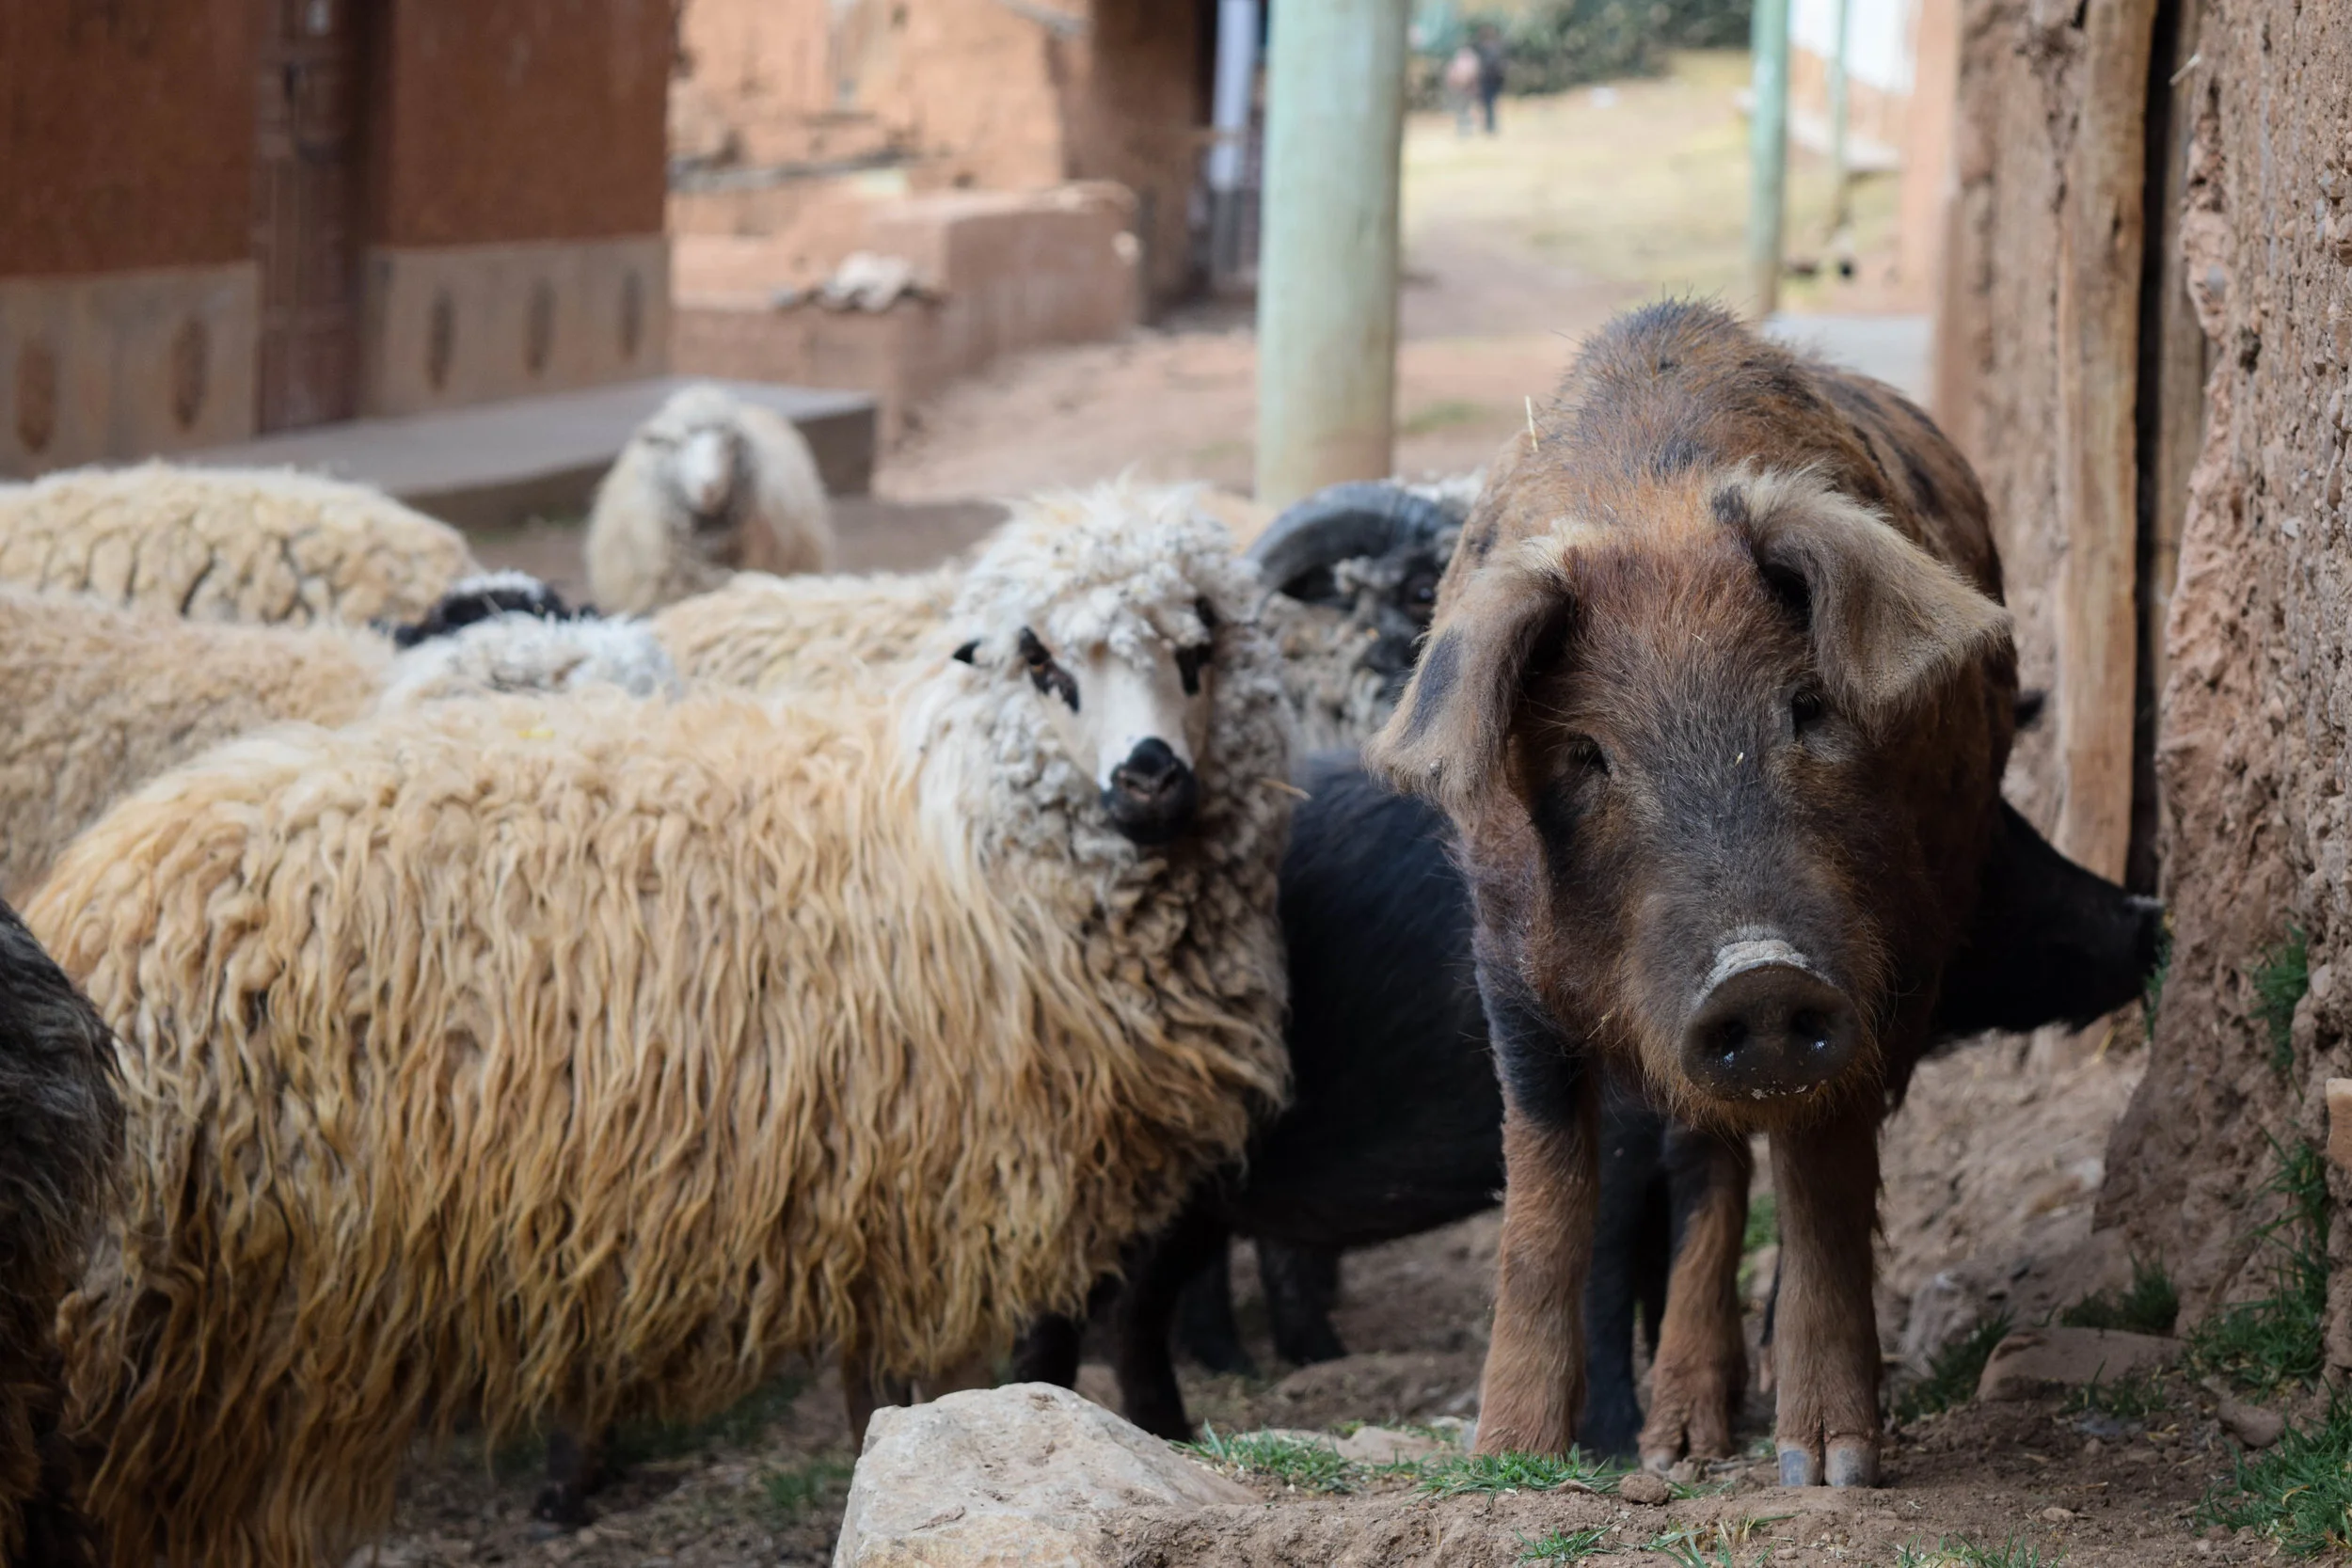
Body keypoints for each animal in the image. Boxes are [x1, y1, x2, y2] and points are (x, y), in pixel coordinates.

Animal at [1366, 299, 2017, 1487]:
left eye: (1809, 708)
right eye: (1585, 755)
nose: (1754, 973)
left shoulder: (1893, 963)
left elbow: (1824, 1184)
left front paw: (1830, 1467)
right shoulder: (1506, 972)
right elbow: (1541, 1200)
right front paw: (1510, 1456)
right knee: (1701, 1159)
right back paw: (1678, 1443)